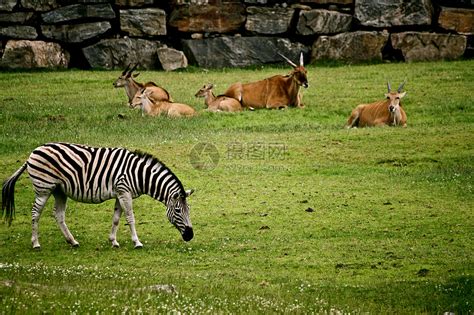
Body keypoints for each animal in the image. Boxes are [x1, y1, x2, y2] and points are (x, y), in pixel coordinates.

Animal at [1, 143, 194, 249]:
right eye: (178, 211)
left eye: (189, 210)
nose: (190, 236)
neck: (139, 174)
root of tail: (32, 153)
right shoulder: (124, 191)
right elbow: (130, 218)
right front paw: (137, 242)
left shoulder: (120, 193)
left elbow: (116, 218)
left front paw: (113, 241)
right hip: (43, 188)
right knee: (35, 214)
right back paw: (36, 243)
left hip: (59, 190)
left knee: (58, 215)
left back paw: (72, 241)